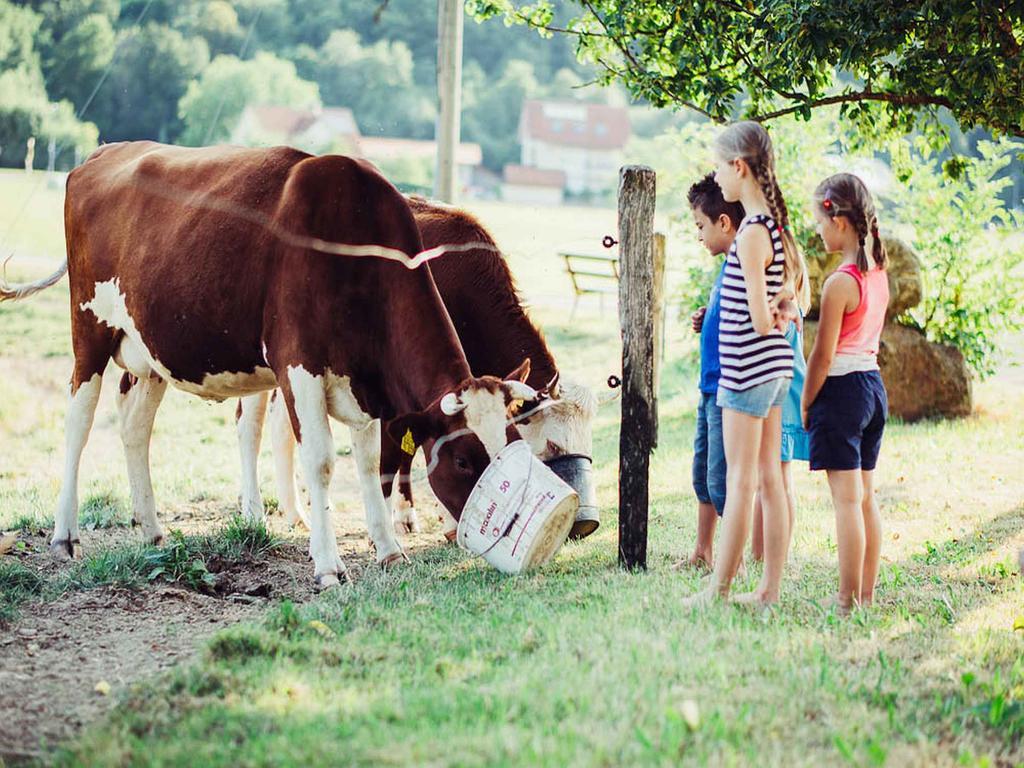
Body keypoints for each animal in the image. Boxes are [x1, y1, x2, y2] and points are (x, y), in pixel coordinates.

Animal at [0, 143, 540, 589]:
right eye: (464, 460)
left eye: (515, 443)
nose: (509, 524)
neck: (358, 246)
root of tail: (102, 153)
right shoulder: (299, 365)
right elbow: (321, 461)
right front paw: (328, 565)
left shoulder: (364, 384)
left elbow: (369, 464)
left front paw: (388, 549)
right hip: (89, 328)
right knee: (78, 423)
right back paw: (64, 535)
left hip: (150, 354)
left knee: (135, 429)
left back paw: (152, 528)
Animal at [237, 199, 614, 548]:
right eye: (551, 444)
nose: (583, 524)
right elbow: (392, 457)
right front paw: (387, 533)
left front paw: (418, 518)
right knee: (251, 424)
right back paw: (254, 512)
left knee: (283, 425)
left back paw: (296, 512)